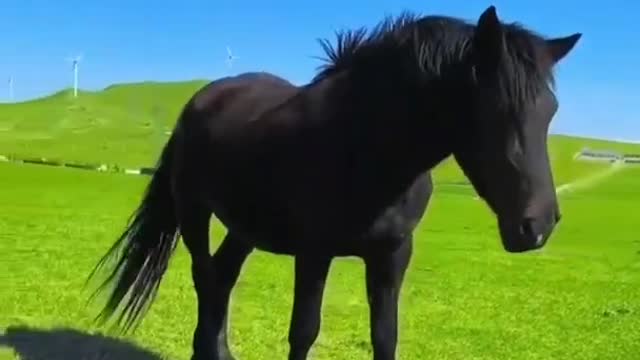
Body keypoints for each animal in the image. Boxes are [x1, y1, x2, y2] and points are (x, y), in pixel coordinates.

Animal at [87, 5, 584, 360]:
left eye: (550, 111)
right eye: (493, 109)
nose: (538, 225)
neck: (367, 148)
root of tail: (203, 98)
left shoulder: (392, 255)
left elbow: (385, 337)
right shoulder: (314, 252)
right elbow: (303, 333)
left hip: (245, 227)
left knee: (222, 276)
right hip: (194, 211)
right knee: (205, 277)